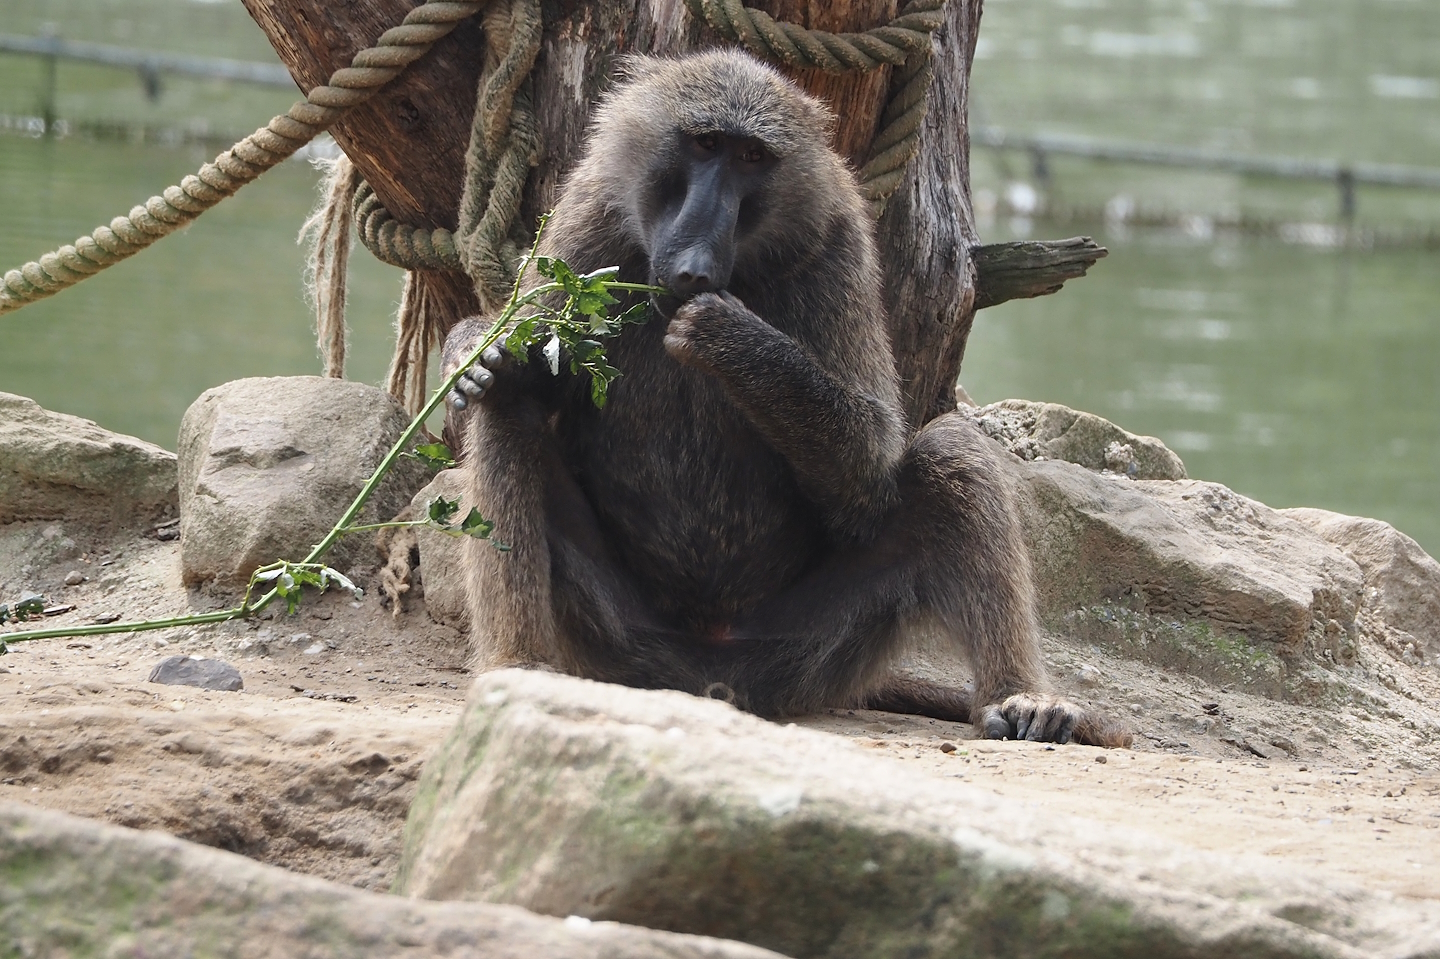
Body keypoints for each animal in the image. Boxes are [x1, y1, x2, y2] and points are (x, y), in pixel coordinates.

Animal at [440, 49, 1129, 748]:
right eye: (706, 144)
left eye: (751, 158)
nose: (694, 265)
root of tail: (708, 674)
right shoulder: (591, 218)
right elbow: (515, 373)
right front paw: (478, 350)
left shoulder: (837, 241)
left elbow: (868, 472)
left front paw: (725, 335)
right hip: (617, 638)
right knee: (507, 409)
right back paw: (519, 665)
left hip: (814, 646)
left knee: (951, 451)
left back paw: (1023, 698)